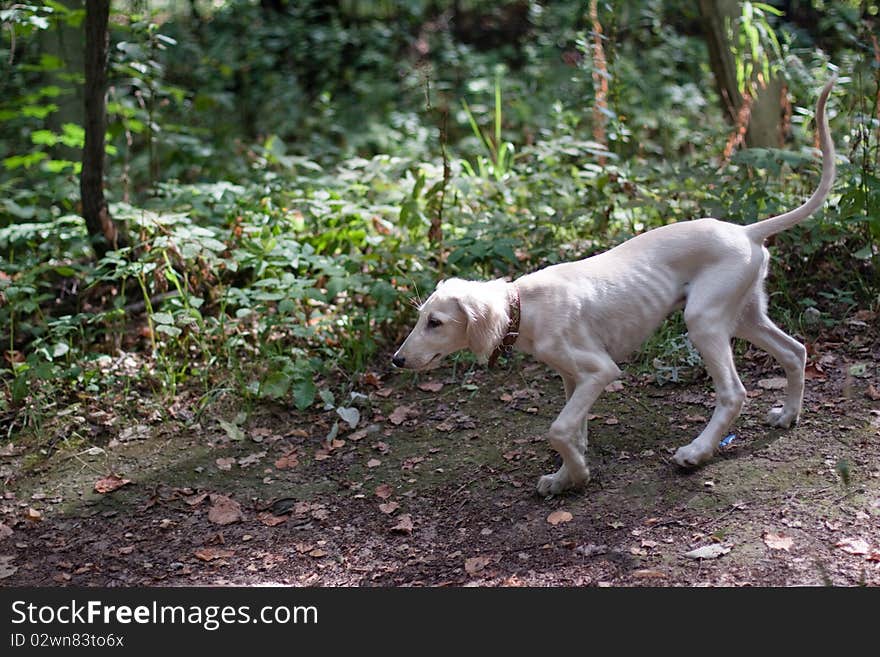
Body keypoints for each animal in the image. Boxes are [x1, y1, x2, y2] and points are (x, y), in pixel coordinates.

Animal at [394, 77, 840, 494]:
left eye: (435, 322)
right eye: (420, 318)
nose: (397, 361)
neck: (525, 304)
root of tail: (747, 231)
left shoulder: (599, 371)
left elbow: (558, 430)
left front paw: (576, 474)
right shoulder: (573, 378)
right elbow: (573, 430)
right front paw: (565, 476)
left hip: (703, 319)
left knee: (733, 392)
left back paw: (696, 452)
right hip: (744, 313)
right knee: (795, 351)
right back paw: (788, 415)